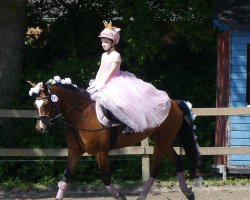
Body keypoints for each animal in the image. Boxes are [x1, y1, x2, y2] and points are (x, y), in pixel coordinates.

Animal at [28, 81, 200, 200]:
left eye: (46, 104)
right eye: (35, 104)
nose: (40, 129)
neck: (81, 115)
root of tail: (173, 102)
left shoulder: (101, 152)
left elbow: (105, 178)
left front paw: (121, 196)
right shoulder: (75, 151)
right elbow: (66, 177)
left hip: (161, 142)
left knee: (155, 168)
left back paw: (142, 196)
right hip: (164, 141)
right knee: (177, 162)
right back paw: (188, 193)